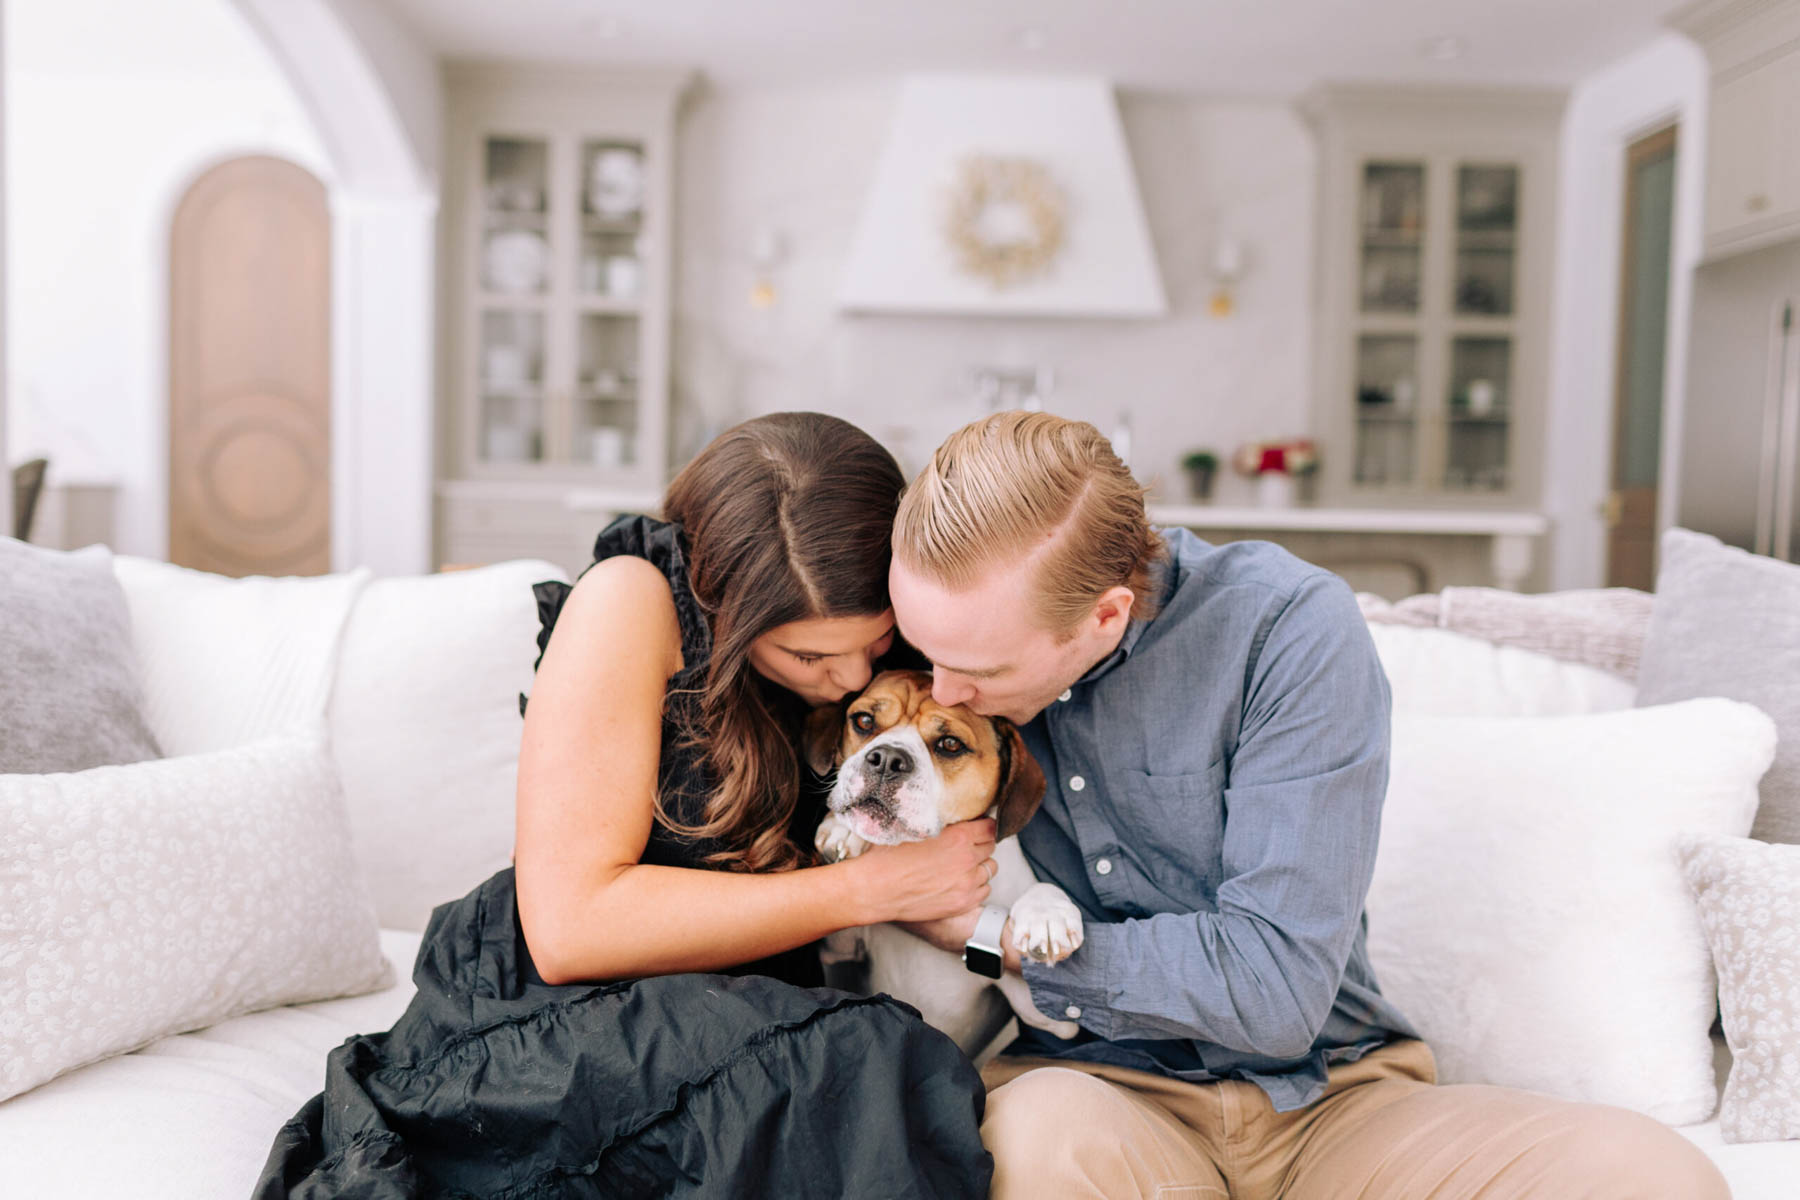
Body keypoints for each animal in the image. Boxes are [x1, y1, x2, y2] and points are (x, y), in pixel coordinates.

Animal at [813, 672, 1087, 1057]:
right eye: (864, 721)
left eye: (950, 744)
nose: (886, 758)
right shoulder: (837, 951)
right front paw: (844, 828)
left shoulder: (1048, 1017)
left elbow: (1039, 893)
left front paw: (1047, 916)